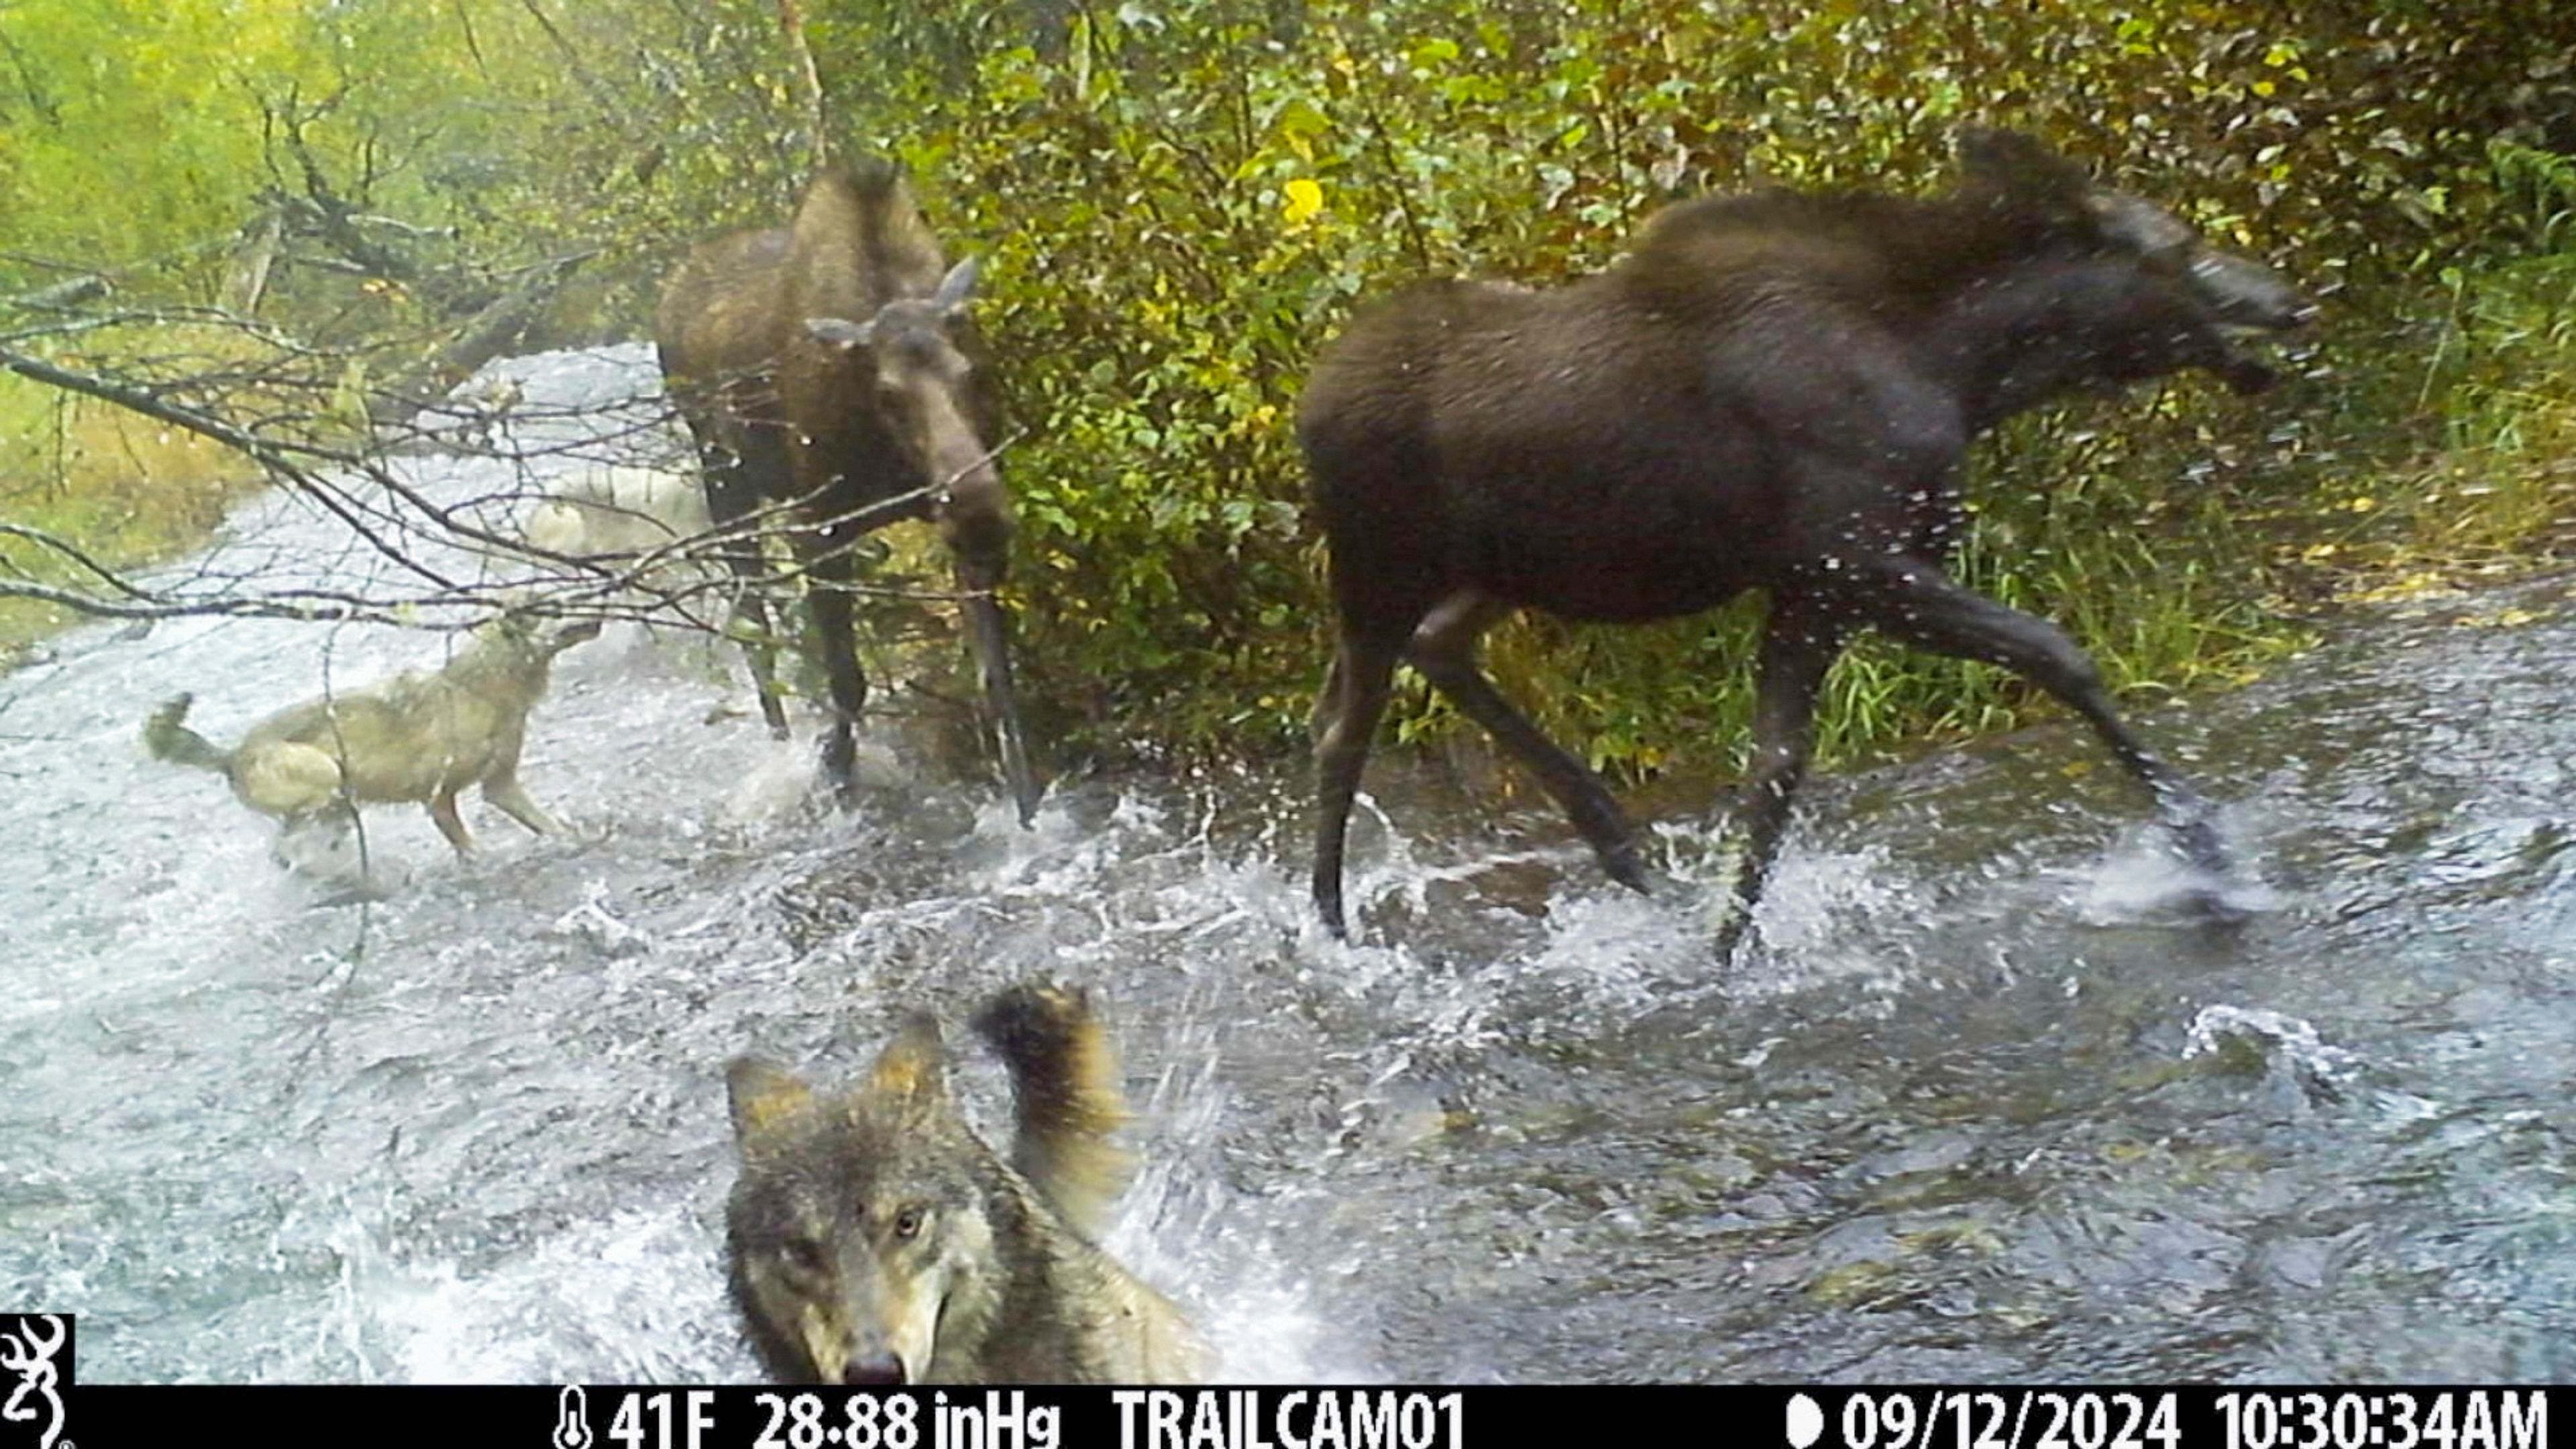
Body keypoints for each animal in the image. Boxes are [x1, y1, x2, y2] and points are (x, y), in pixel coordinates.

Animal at [152, 608, 608, 856]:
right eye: (557, 607)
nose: (600, 606)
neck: (481, 687)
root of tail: (232, 754)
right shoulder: (437, 798)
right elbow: (467, 843)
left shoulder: (501, 785)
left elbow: (548, 824)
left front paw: (574, 839)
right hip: (326, 780)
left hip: (332, 803)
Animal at [654, 159, 1035, 820]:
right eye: (887, 393)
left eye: (971, 373)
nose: (981, 514)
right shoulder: (820, 529)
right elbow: (845, 679)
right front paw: (832, 772)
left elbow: (996, 679)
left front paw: (1027, 809)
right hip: (723, 477)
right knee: (755, 626)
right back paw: (781, 748)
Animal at [1298, 129, 2328, 954]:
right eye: (2181, 246)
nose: (2291, 299)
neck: (1963, 371)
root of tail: (1309, 404)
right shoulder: (1860, 563)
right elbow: (2057, 652)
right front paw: (2208, 860)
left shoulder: (1813, 587)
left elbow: (1774, 775)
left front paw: (1723, 949)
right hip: (1378, 567)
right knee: (1342, 729)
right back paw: (1334, 930)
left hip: (1501, 572)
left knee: (1440, 649)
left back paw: (1618, 842)